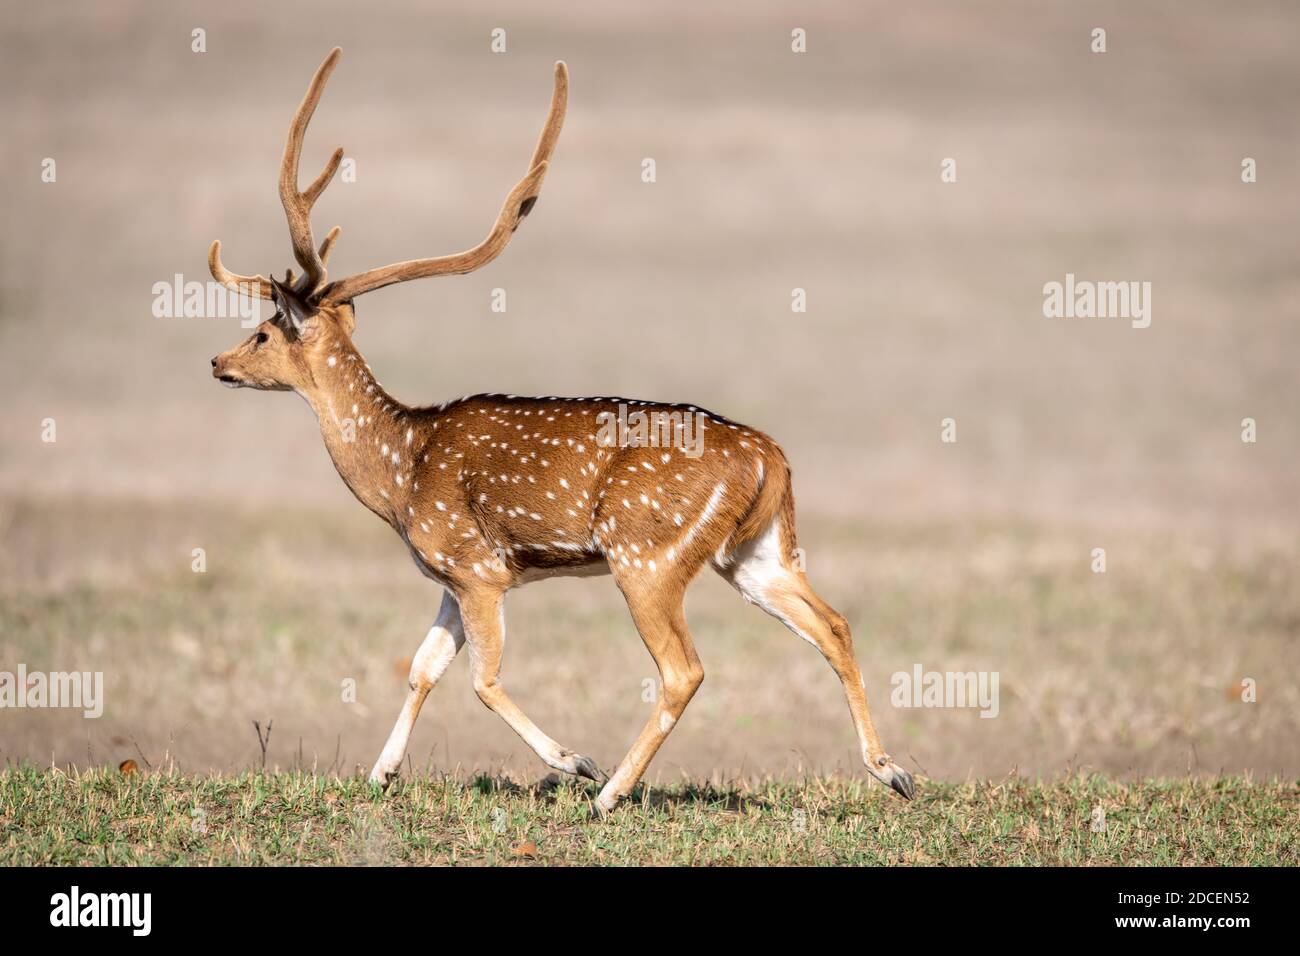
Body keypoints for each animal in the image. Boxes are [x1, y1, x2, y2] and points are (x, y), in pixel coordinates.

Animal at [208, 48, 915, 812]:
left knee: (685, 669)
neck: (401, 474)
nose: (217, 361)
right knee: (834, 623)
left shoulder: (478, 566)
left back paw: (610, 794)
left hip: (646, 553)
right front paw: (379, 773)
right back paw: (893, 772)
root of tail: (771, 458)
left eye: (262, 332)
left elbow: (481, 681)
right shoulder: (451, 576)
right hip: (755, 553)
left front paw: (574, 761)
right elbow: (423, 667)